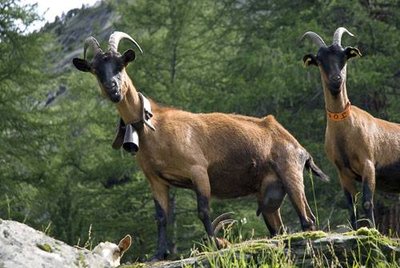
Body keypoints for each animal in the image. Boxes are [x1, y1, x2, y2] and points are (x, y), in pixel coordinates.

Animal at [73, 30, 330, 260]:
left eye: (120, 65)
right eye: (95, 69)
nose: (113, 89)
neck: (154, 126)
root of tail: (299, 147)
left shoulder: (198, 170)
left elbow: (203, 210)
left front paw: (216, 245)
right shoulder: (156, 180)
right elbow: (161, 217)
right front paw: (159, 254)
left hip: (290, 172)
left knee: (308, 219)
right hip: (270, 193)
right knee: (279, 227)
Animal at [302, 26, 400, 228]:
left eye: (344, 56)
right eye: (320, 60)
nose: (336, 79)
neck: (346, 131)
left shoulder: (368, 164)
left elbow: (367, 202)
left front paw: (372, 230)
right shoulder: (343, 172)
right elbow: (351, 207)